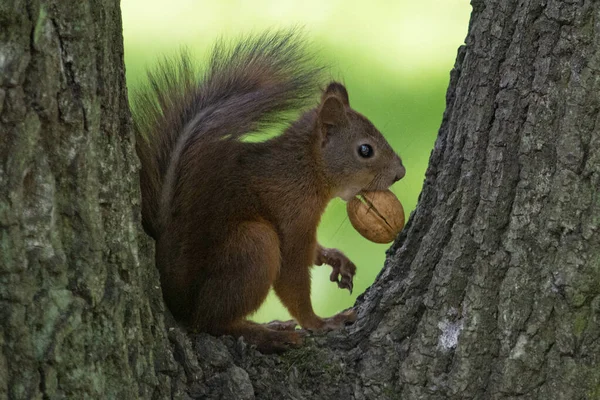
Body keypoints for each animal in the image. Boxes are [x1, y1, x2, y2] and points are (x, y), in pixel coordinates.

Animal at [131, 29, 404, 352]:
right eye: (365, 150)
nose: (400, 173)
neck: (304, 169)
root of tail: (175, 293)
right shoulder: (292, 216)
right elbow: (292, 275)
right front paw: (320, 322)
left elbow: (311, 251)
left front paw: (334, 257)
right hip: (254, 245)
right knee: (211, 322)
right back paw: (267, 333)